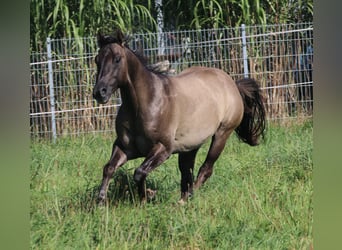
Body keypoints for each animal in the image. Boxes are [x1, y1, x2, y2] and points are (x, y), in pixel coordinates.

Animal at [93, 30, 268, 204]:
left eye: (117, 59)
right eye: (97, 60)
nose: (99, 92)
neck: (145, 103)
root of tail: (233, 85)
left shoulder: (163, 148)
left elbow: (140, 172)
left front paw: (146, 196)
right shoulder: (125, 147)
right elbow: (109, 168)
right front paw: (101, 202)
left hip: (222, 134)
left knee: (205, 169)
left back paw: (185, 200)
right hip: (190, 145)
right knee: (187, 172)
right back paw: (185, 197)